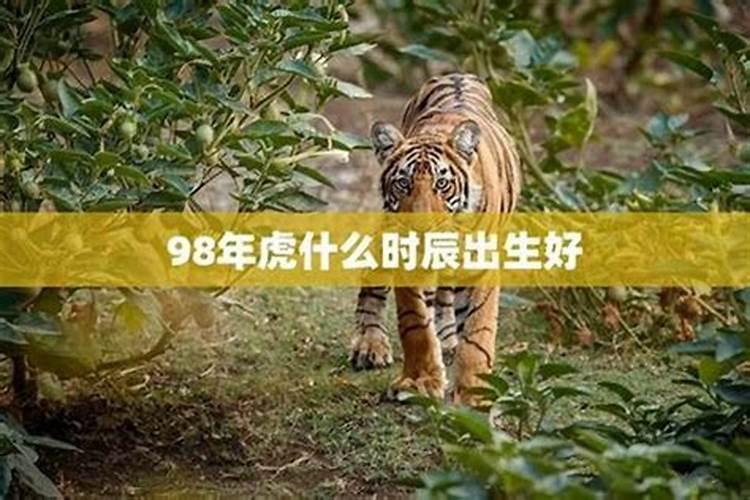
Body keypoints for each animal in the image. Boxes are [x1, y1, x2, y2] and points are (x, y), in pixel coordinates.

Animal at [348, 73, 522, 404]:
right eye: (403, 183)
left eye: (442, 184)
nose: (422, 227)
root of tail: (457, 74)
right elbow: (415, 323)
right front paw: (419, 381)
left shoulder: (481, 264)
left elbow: (477, 331)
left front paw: (473, 392)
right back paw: (369, 344)